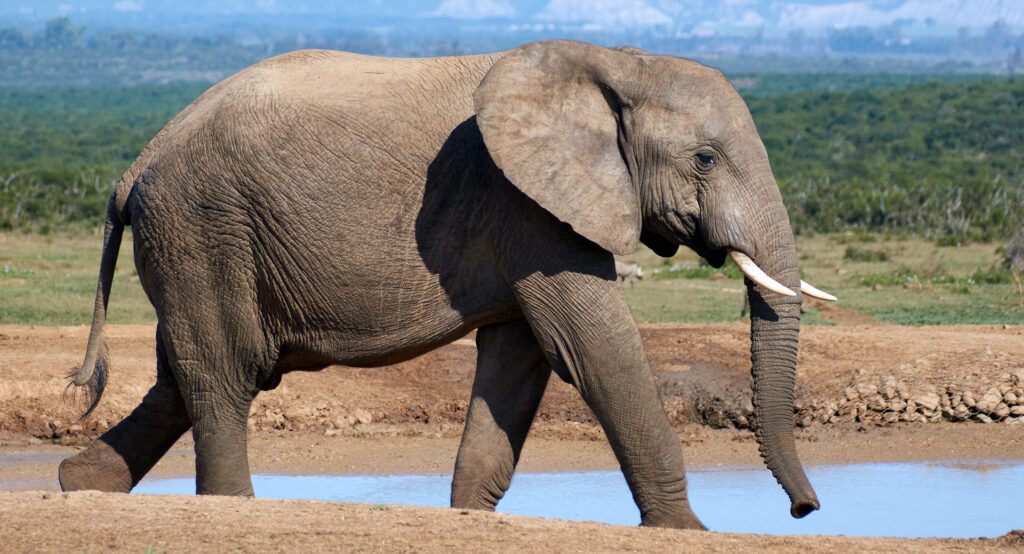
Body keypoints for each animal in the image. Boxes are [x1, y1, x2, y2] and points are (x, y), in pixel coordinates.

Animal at [59, 40, 836, 529]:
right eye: (704, 159)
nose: (805, 510)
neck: (615, 63)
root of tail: (135, 166)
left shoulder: (528, 215)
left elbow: (519, 361)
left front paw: (468, 517)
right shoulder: (526, 203)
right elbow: (592, 347)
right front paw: (687, 530)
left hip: (196, 242)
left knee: (184, 373)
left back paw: (79, 485)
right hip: (204, 227)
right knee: (225, 371)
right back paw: (227, 505)